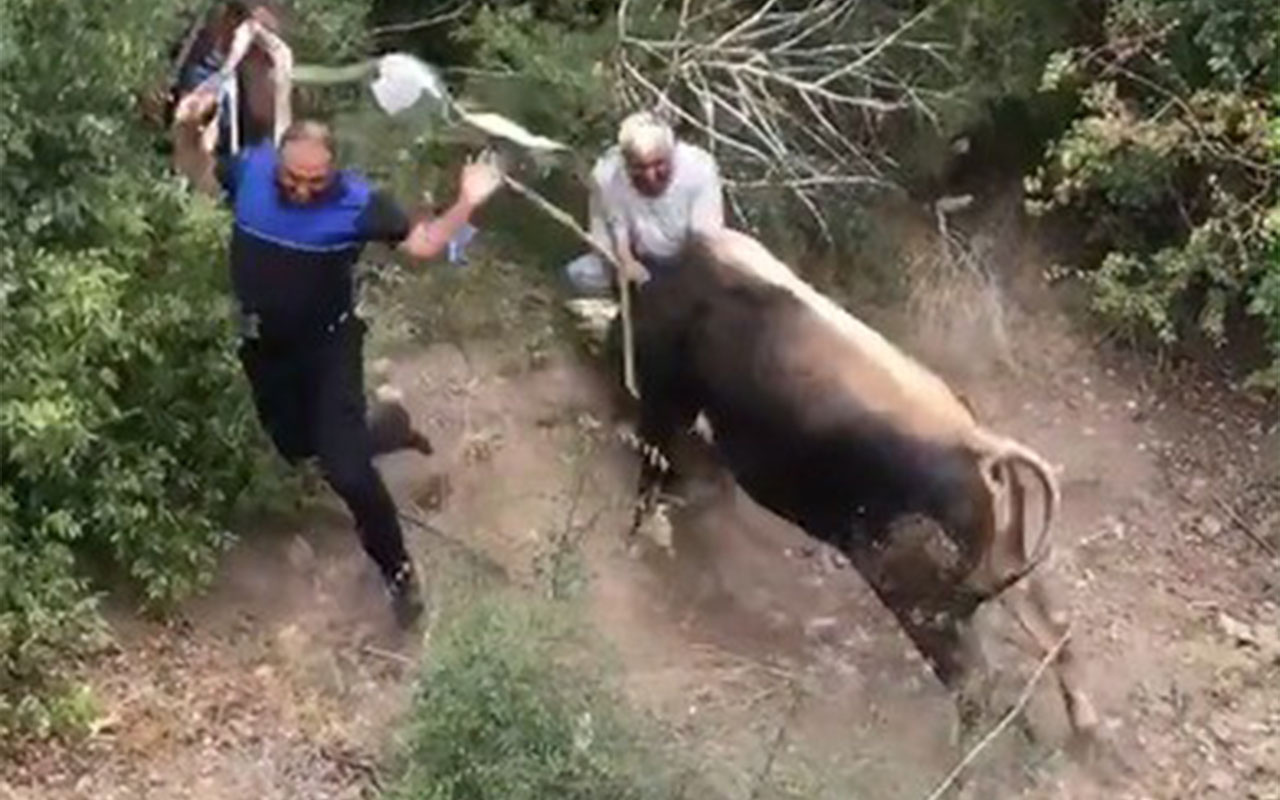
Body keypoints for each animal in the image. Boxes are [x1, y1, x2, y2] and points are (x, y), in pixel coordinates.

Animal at [624, 227, 1095, 732]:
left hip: (921, 598)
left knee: (977, 681)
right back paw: (1087, 734)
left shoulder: (665, 399)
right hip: (1000, 565)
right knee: (1054, 631)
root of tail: (980, 445)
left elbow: (653, 473)